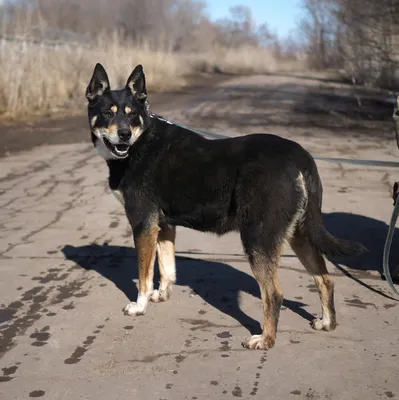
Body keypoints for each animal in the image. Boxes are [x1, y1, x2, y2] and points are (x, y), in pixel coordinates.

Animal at [86, 63, 368, 350]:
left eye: (132, 115)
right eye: (108, 113)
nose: (124, 135)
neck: (140, 142)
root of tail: (300, 157)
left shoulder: (143, 224)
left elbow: (144, 275)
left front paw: (139, 306)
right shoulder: (163, 226)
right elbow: (166, 267)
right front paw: (162, 294)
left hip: (258, 237)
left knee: (273, 294)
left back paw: (265, 340)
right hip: (299, 234)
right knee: (325, 279)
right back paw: (327, 322)